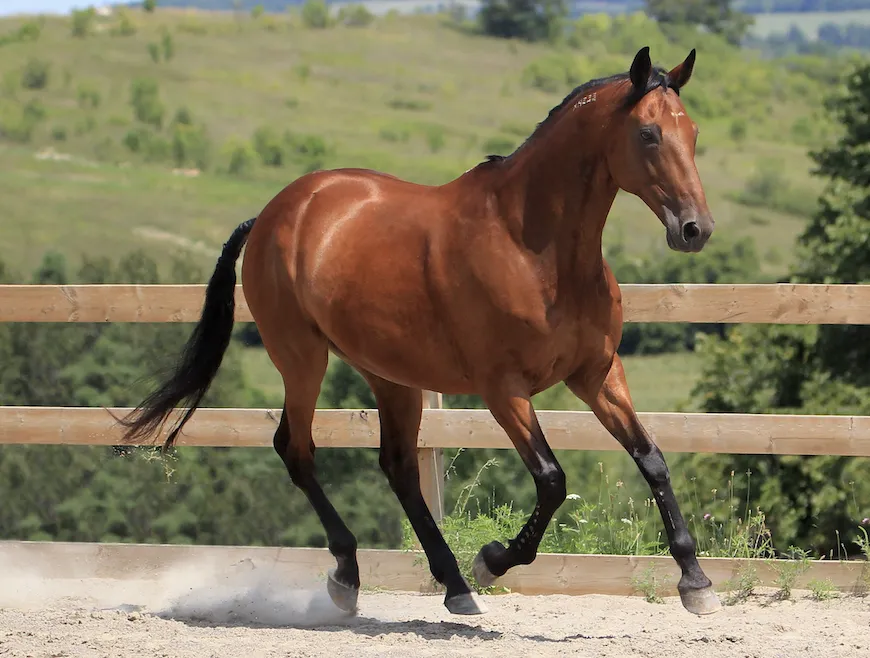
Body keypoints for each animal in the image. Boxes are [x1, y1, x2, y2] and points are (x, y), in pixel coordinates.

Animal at [118, 46, 719, 618]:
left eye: (693, 133)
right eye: (647, 134)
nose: (695, 229)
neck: (533, 249)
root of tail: (272, 214)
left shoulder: (596, 374)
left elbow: (652, 459)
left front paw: (696, 582)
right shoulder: (503, 389)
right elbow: (552, 480)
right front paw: (492, 560)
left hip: (390, 375)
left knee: (398, 466)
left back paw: (453, 586)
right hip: (302, 357)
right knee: (297, 449)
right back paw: (351, 577)